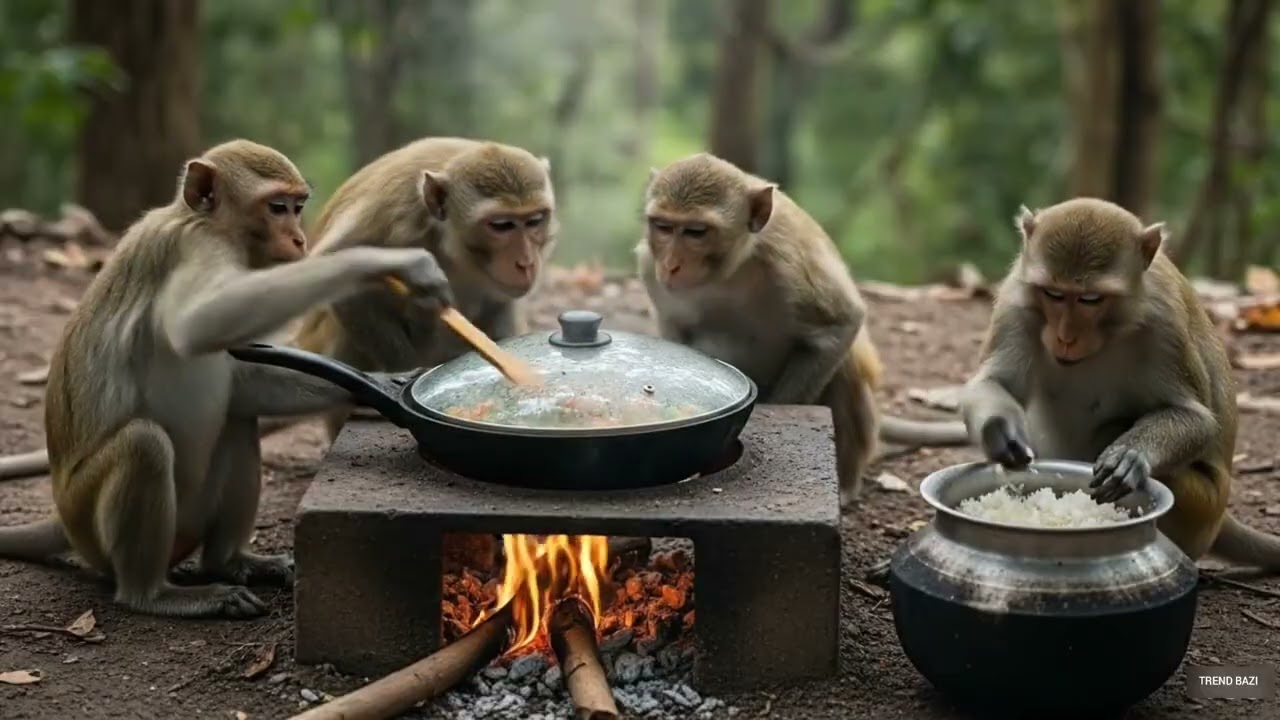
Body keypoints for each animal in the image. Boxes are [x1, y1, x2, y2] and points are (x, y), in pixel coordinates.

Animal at [0, 140, 453, 618]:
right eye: (277, 208)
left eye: (297, 207)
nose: (299, 238)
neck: (200, 220)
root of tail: (62, 516)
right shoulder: (198, 247)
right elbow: (197, 324)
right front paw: (383, 264)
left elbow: (243, 383)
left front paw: (383, 384)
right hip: (90, 522)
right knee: (144, 445)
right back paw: (154, 594)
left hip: (187, 519)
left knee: (237, 417)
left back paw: (228, 562)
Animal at [256, 137, 558, 442]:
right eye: (501, 225)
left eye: (535, 220)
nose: (526, 263)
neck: (449, 239)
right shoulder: (394, 213)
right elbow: (340, 261)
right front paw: (400, 372)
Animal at [635, 153, 967, 509]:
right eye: (663, 227)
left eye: (696, 232)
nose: (671, 264)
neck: (729, 270)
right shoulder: (650, 268)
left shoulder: (789, 264)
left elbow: (841, 324)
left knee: (846, 368)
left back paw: (846, 484)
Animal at [960, 196, 1280, 571]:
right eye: (1053, 293)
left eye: (1090, 299)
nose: (1065, 337)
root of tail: (1219, 520)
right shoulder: (1016, 299)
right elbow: (995, 382)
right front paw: (1002, 433)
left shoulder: (1165, 325)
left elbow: (1196, 418)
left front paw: (1131, 455)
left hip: (1202, 507)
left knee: (1110, 431)